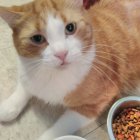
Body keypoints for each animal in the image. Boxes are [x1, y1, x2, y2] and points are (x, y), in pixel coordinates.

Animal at [0, 0, 140, 139]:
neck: (51, 74)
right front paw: (9, 106)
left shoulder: (95, 103)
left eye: (70, 27)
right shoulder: (27, 71)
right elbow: (25, 85)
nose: (61, 53)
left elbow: (58, 129)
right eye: (37, 38)